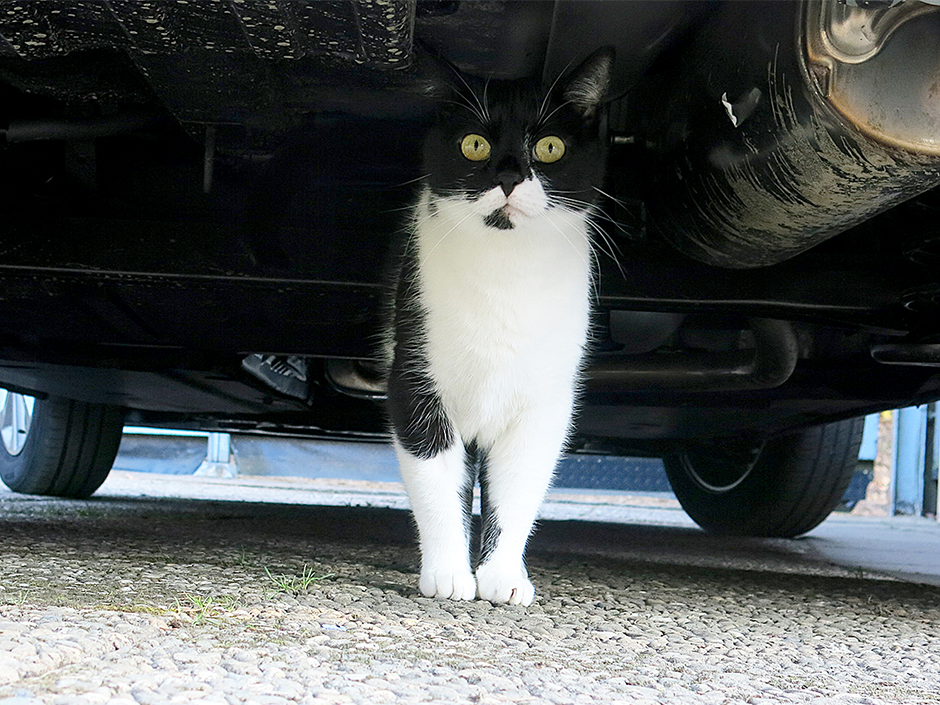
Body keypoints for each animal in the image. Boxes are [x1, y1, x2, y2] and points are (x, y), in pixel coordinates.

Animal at [384, 49, 612, 604]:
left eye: (550, 147)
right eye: (474, 144)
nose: (508, 177)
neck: (505, 273)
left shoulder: (544, 403)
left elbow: (518, 489)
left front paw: (502, 576)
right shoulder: (416, 383)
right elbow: (436, 481)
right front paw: (449, 573)